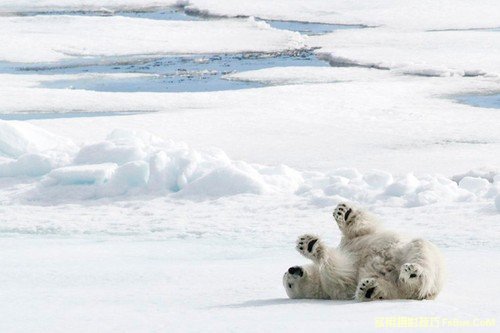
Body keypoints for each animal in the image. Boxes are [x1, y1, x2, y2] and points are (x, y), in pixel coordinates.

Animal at [284, 201, 444, 300]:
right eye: (289, 284)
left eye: (287, 279)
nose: (291, 269)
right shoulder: (335, 287)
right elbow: (341, 270)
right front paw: (311, 247)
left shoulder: (350, 243)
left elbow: (363, 230)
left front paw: (343, 212)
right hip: (396, 287)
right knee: (394, 289)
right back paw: (370, 289)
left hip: (410, 252)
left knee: (420, 249)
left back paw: (411, 271)